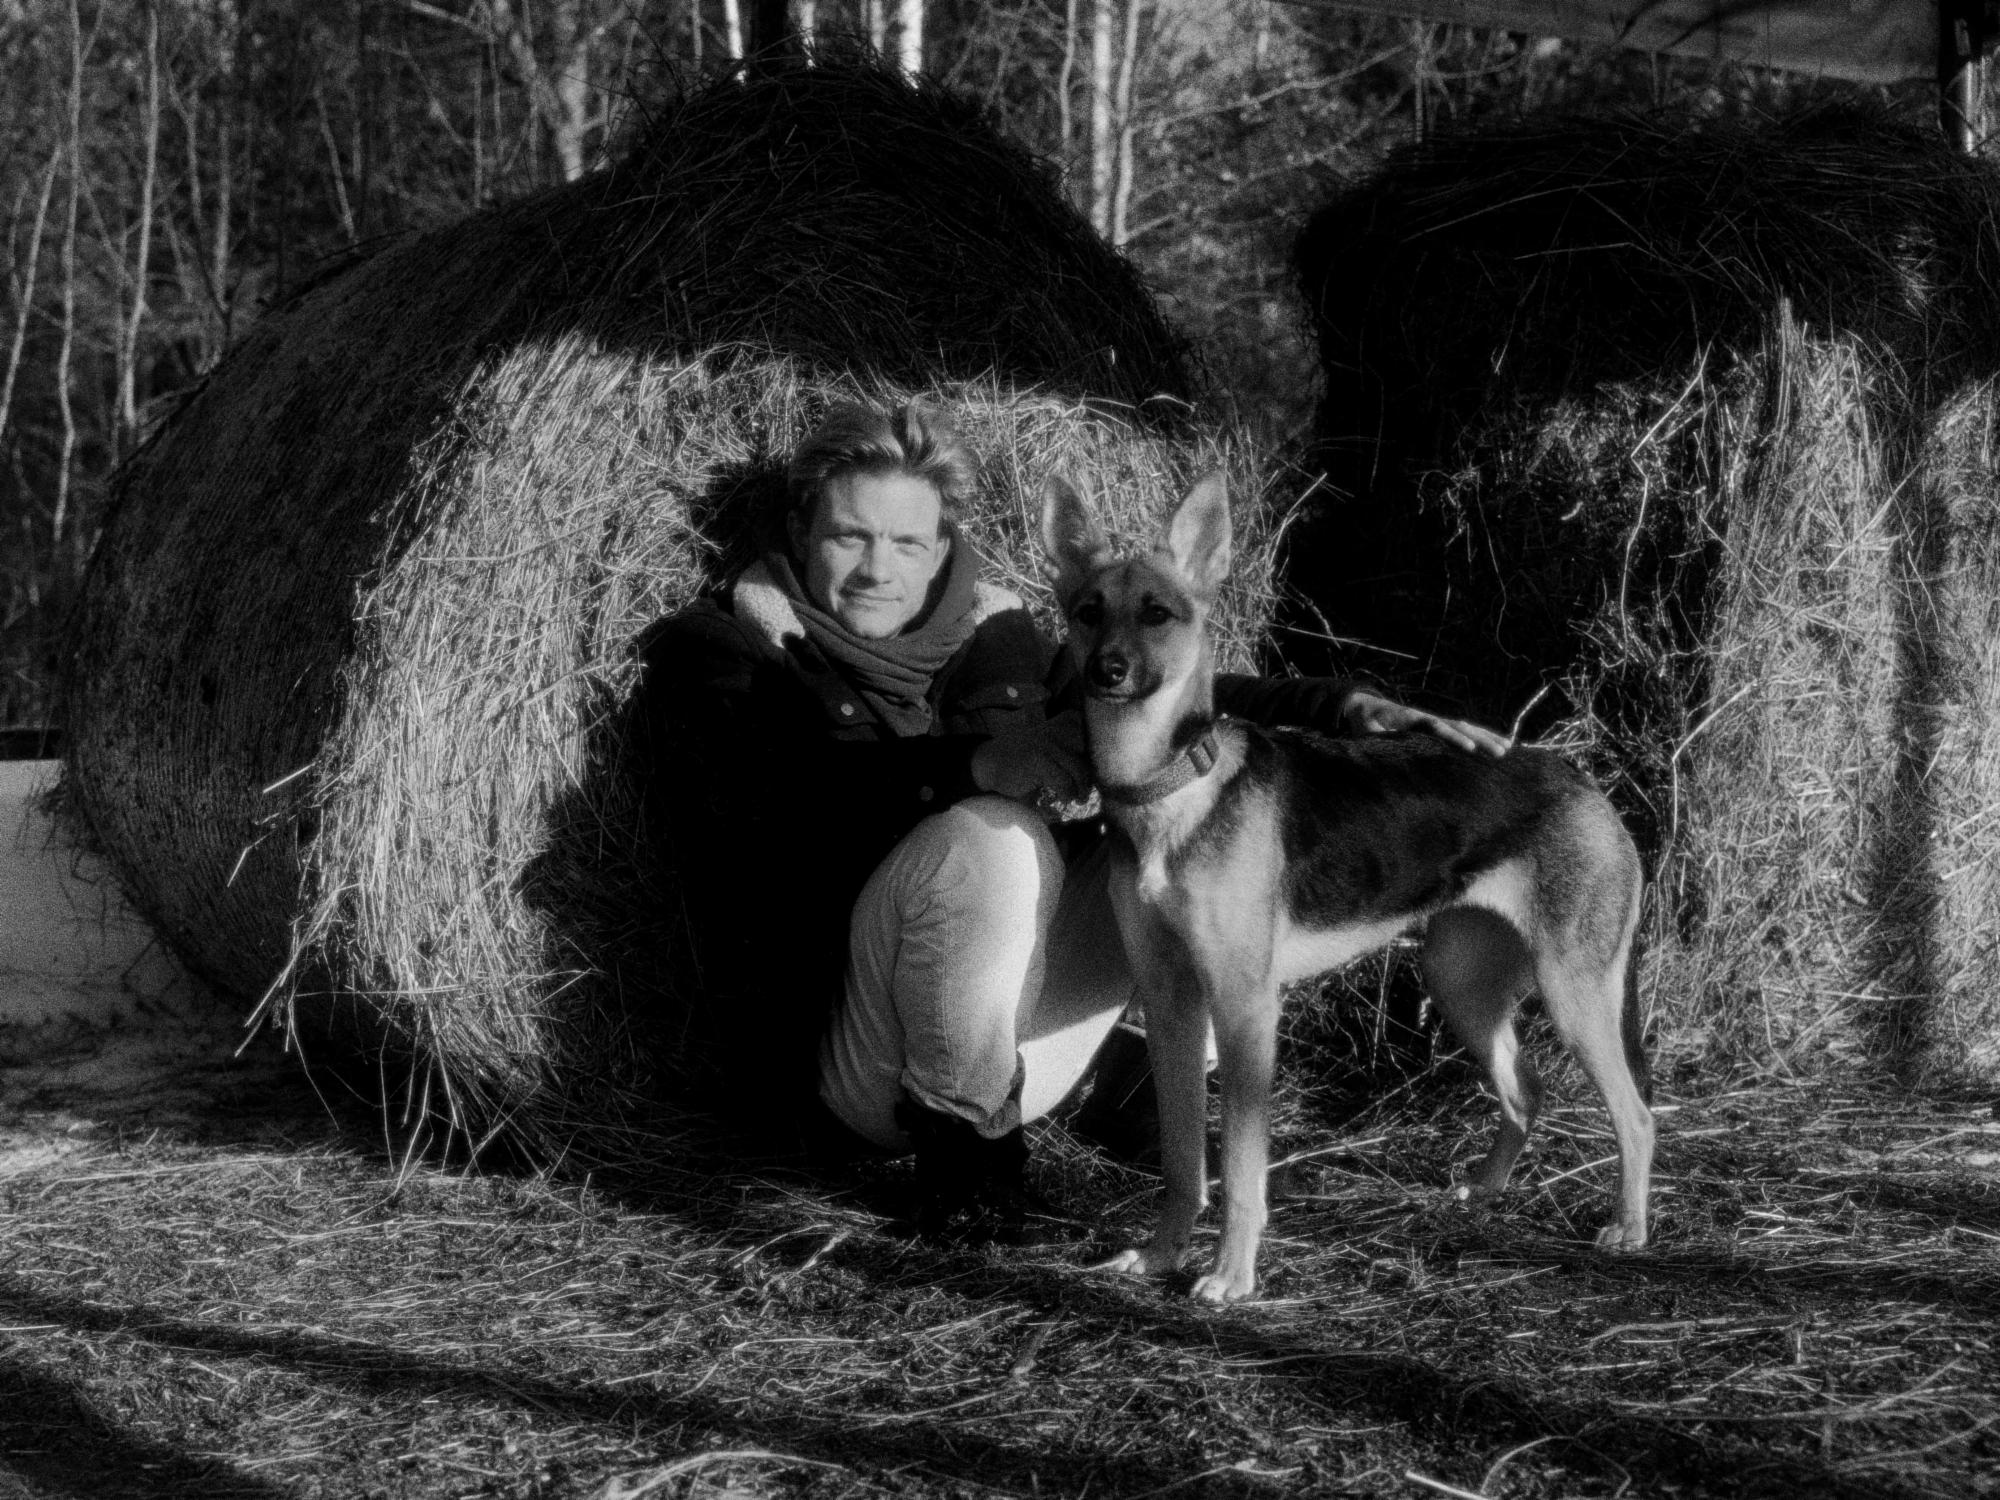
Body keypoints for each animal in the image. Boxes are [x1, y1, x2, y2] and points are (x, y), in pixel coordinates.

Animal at [1041, 471, 1654, 1303]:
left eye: (1156, 614)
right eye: (1087, 611)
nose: (1106, 672)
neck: (1172, 785)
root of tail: (1586, 783)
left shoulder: (1243, 1010)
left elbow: (1239, 1170)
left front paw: (1231, 1275)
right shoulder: (1171, 1004)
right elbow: (1181, 1163)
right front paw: (1163, 1254)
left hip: (1573, 993)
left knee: (1636, 1115)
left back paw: (1628, 1227)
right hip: (1462, 981)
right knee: (1526, 1091)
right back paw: (1484, 1191)